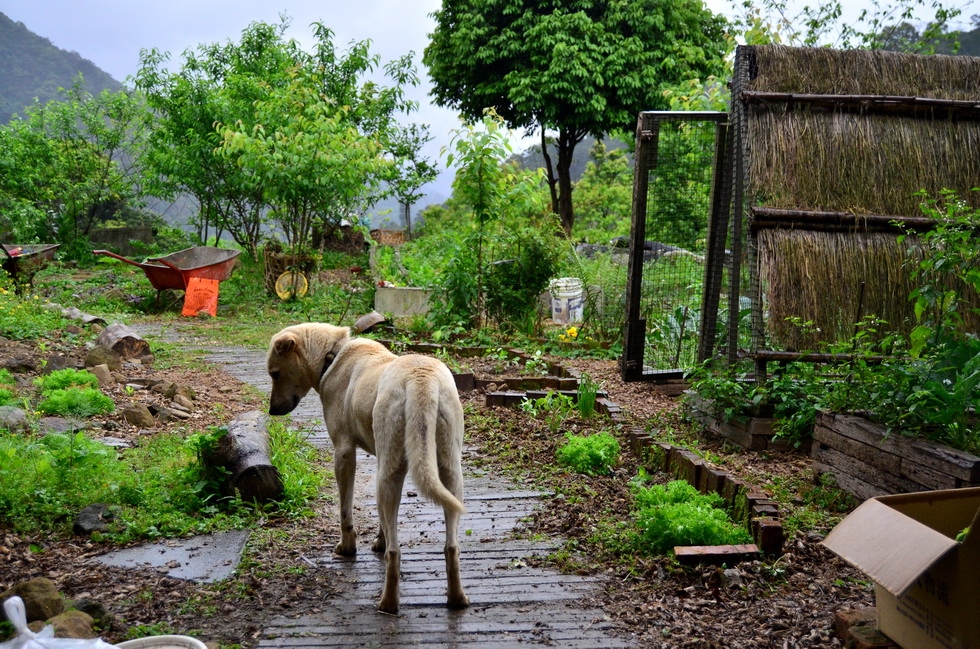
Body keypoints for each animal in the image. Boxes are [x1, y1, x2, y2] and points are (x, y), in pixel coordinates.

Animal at [266, 324, 468, 612]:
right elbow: (383, 518)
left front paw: (347, 546)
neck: (332, 355)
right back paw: (457, 598)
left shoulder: (344, 453)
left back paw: (388, 603)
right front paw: (379, 539)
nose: (271, 411)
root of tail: (421, 379)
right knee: (451, 546)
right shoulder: (381, 459)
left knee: (395, 552)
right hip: (448, 472)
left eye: (275, 373)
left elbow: (345, 510)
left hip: (390, 471)